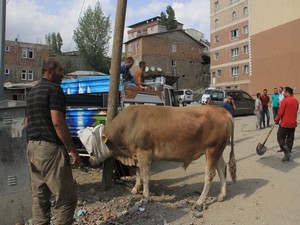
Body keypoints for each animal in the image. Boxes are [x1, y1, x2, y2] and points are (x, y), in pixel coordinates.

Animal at [101, 105, 237, 211]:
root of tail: (222, 111)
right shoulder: (137, 154)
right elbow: (138, 172)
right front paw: (135, 189)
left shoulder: (144, 152)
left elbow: (145, 176)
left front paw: (145, 198)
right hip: (218, 150)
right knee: (221, 168)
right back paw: (221, 195)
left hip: (212, 149)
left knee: (210, 174)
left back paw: (199, 202)